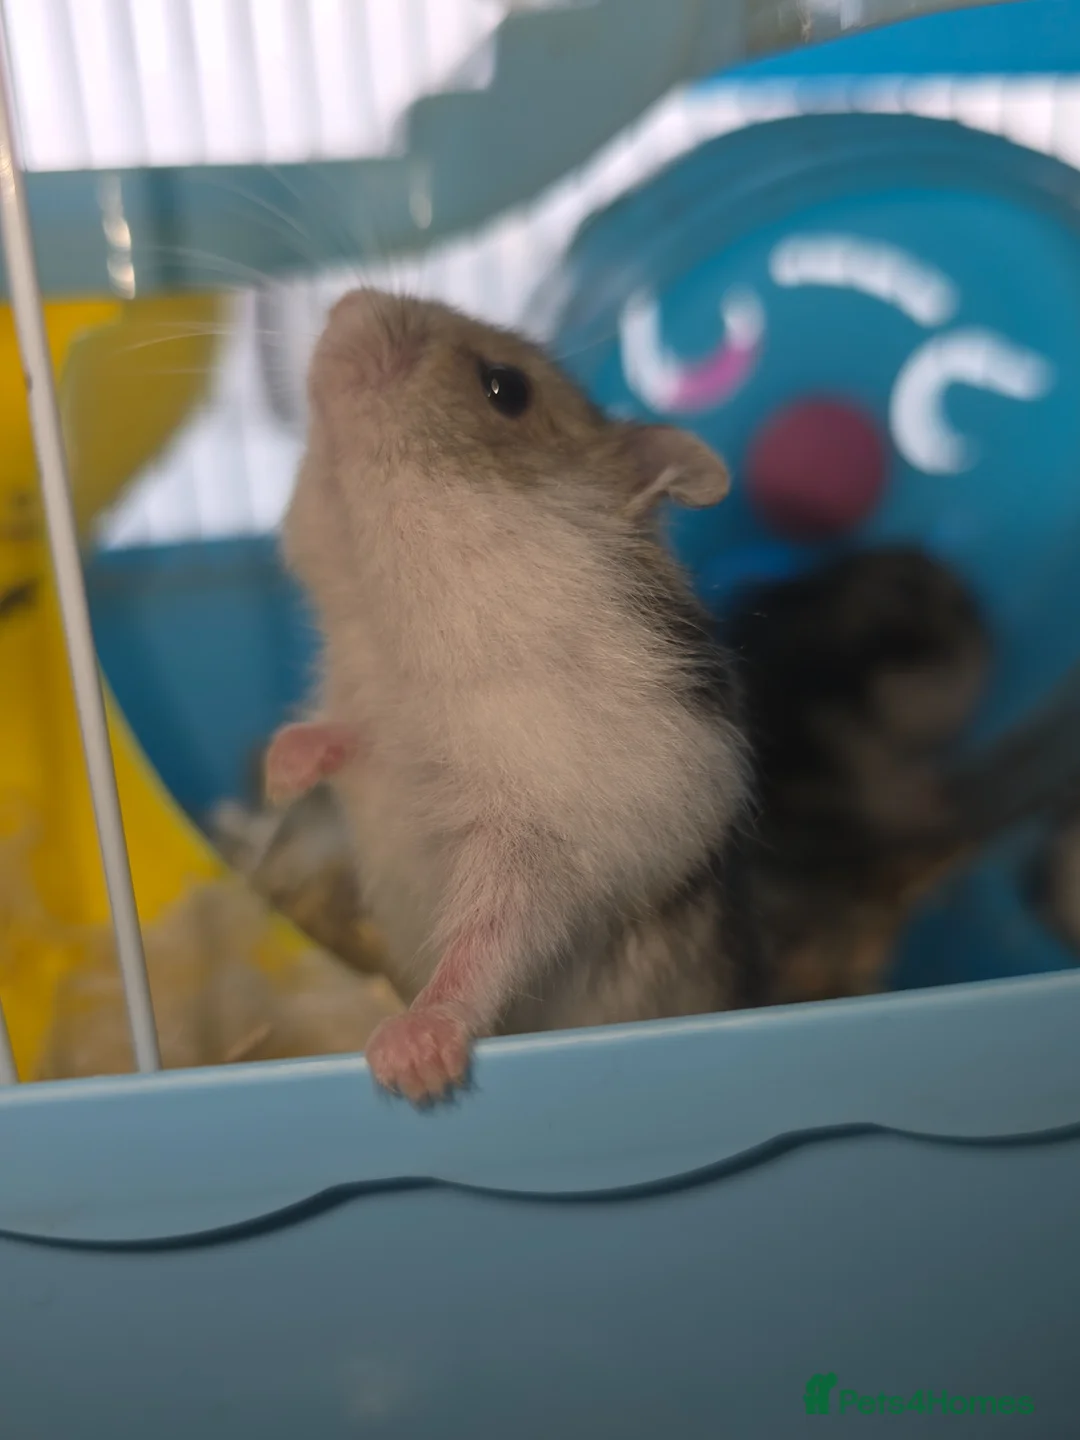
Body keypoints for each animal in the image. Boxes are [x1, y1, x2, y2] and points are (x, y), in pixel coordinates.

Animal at [266, 288, 753, 1102]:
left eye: (507, 388)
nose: (347, 302)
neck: (405, 632)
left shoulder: (549, 834)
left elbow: (491, 935)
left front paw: (411, 1059)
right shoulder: (373, 714)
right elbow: (347, 733)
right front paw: (279, 770)